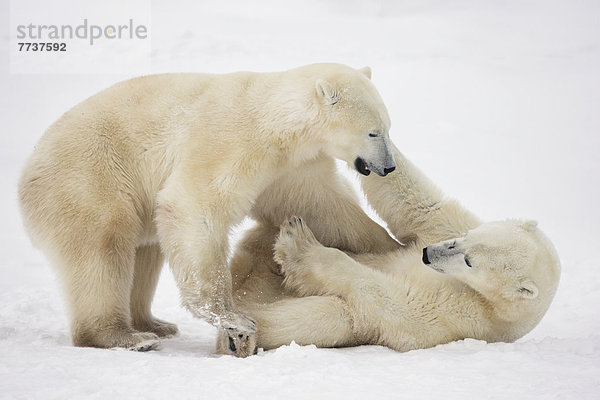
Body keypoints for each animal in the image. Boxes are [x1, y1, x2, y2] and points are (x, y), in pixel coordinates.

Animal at [17, 62, 398, 350]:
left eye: (388, 128)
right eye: (374, 132)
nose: (389, 167)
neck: (275, 120)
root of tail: (27, 174)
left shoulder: (290, 168)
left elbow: (325, 208)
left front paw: (391, 245)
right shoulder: (232, 142)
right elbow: (195, 204)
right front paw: (234, 318)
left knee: (146, 251)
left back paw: (155, 323)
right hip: (90, 178)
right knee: (102, 249)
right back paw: (125, 336)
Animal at [221, 146, 564, 356]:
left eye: (469, 262)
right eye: (464, 238)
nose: (427, 254)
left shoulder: (467, 316)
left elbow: (391, 299)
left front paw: (300, 243)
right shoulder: (447, 226)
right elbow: (418, 205)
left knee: (327, 315)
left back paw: (239, 336)